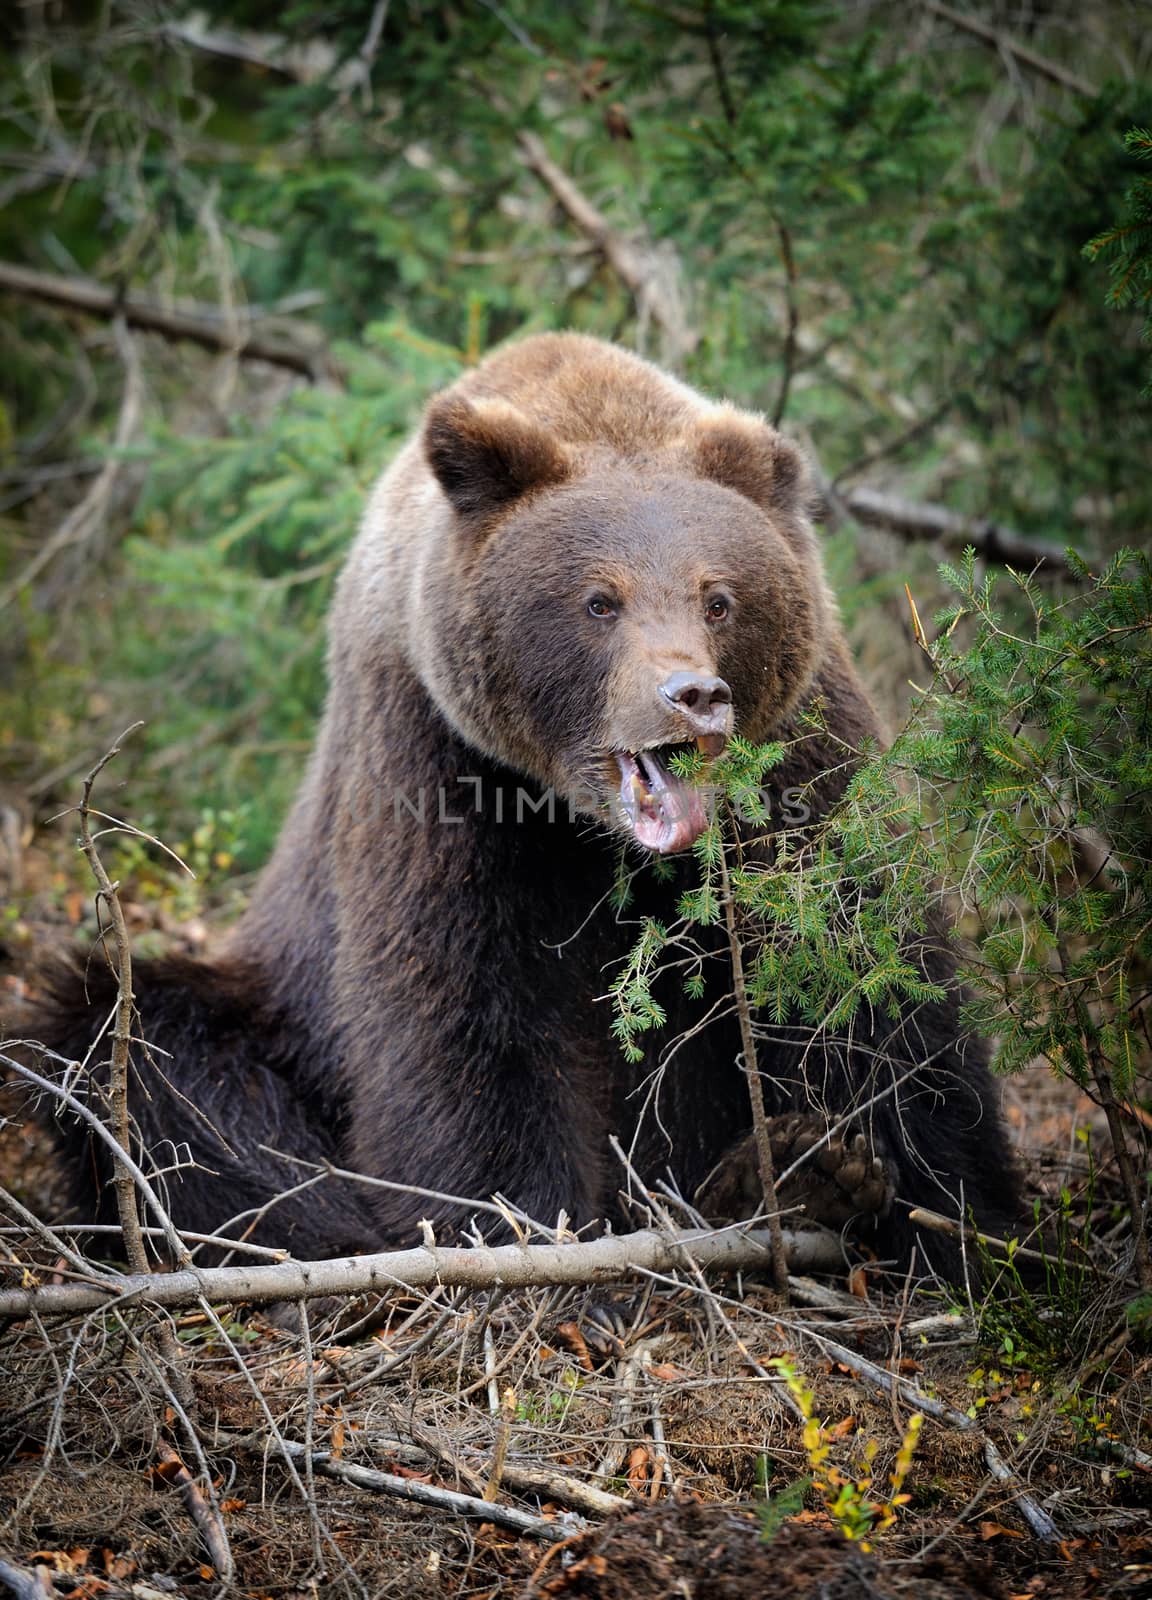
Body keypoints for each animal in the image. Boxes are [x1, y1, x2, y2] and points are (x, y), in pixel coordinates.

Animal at [27, 334, 1017, 1273]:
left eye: (721, 598)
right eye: (599, 600)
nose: (692, 696)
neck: (586, 826)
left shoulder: (800, 762)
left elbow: (870, 971)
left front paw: (939, 1212)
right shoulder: (437, 760)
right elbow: (463, 1011)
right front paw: (532, 1236)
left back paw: (789, 1180)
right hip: (273, 1002)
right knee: (141, 1051)